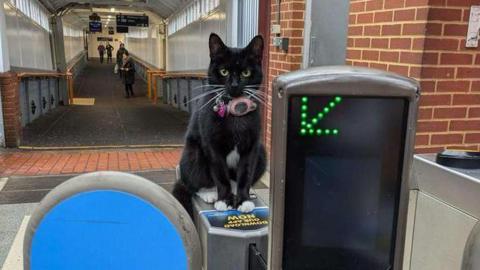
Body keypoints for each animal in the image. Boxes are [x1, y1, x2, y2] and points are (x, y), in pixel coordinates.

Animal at [173, 33, 266, 215]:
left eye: (246, 72)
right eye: (224, 71)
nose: (235, 85)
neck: (235, 113)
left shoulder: (252, 145)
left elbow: (246, 172)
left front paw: (243, 199)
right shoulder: (212, 144)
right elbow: (220, 174)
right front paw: (224, 200)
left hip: (262, 152)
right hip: (192, 154)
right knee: (193, 182)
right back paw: (209, 193)